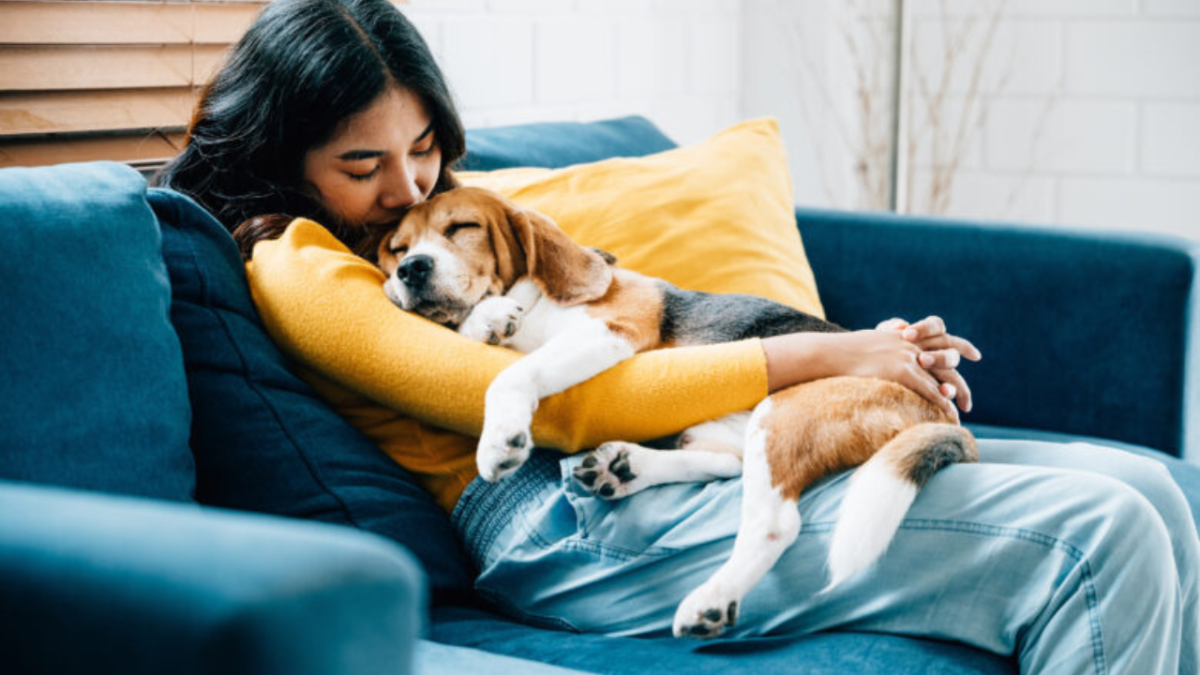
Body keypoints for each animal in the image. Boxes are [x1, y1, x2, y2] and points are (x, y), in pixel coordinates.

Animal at [379, 186, 979, 638]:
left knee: (774, 521)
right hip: (725, 427)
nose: (411, 269)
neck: (535, 301)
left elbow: (514, 372)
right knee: (724, 463)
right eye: (396, 247)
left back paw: (711, 597)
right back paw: (625, 468)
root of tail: (943, 415)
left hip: (783, 411)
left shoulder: (611, 332)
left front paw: (500, 437)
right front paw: (486, 320)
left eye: (462, 227)